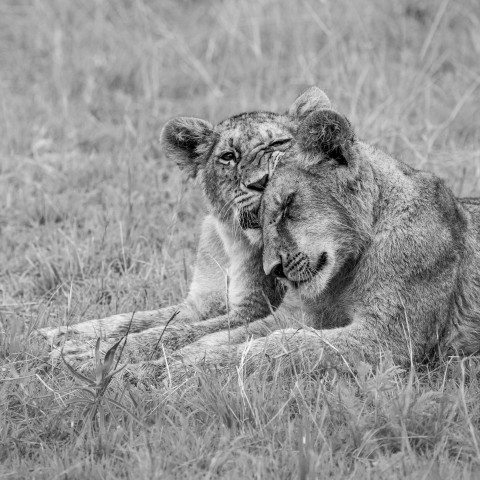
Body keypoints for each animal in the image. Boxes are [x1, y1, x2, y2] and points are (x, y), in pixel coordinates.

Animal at [38, 87, 334, 368]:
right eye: (228, 156)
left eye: (278, 143)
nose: (261, 182)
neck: (230, 243)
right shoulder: (201, 302)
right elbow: (138, 318)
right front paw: (62, 333)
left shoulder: (253, 309)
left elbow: (173, 333)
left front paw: (86, 354)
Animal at [126, 103, 480, 384]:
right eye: (228, 156)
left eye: (286, 205)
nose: (274, 270)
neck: (346, 272)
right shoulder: (291, 314)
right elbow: (219, 335)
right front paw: (155, 362)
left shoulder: (387, 338)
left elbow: (286, 346)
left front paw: (167, 370)